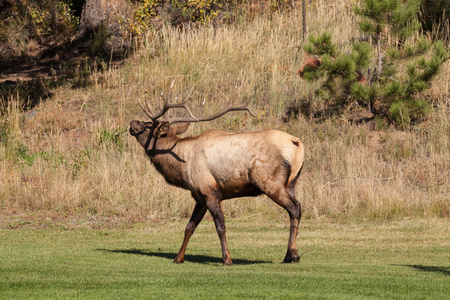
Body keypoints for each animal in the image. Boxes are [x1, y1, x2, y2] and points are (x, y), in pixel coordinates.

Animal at [130, 84, 306, 264]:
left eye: (148, 126)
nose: (132, 122)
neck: (181, 165)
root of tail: (296, 143)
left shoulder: (210, 191)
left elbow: (220, 227)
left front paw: (227, 259)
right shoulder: (199, 196)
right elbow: (189, 227)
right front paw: (178, 258)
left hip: (270, 181)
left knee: (295, 207)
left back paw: (292, 254)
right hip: (291, 182)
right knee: (296, 208)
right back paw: (291, 253)